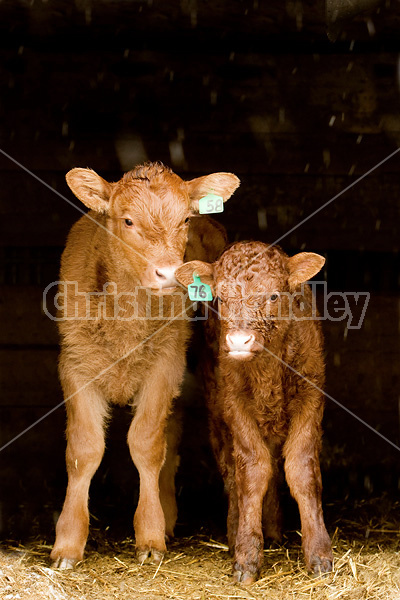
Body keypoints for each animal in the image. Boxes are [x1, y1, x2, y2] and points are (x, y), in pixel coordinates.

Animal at [48, 162, 239, 568]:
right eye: (128, 220)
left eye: (185, 219)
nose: (168, 273)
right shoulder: (75, 365)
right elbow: (84, 449)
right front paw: (68, 543)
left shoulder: (165, 366)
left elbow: (147, 444)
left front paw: (150, 535)